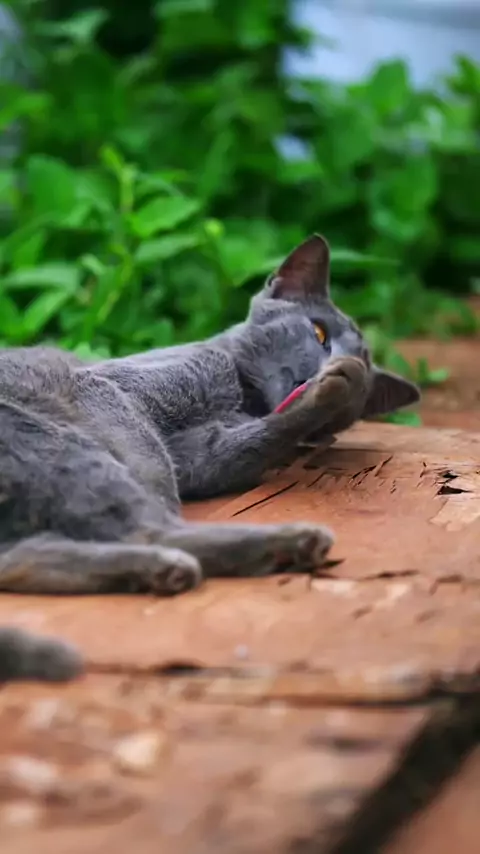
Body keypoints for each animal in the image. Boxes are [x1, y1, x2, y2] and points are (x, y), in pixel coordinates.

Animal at [0, 235, 419, 683]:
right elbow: (153, 465)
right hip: (52, 442)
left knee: (23, 559)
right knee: (150, 527)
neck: (242, 399)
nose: (347, 363)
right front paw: (328, 390)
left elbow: (258, 441)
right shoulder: (108, 388)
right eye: (319, 332)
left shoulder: (209, 456)